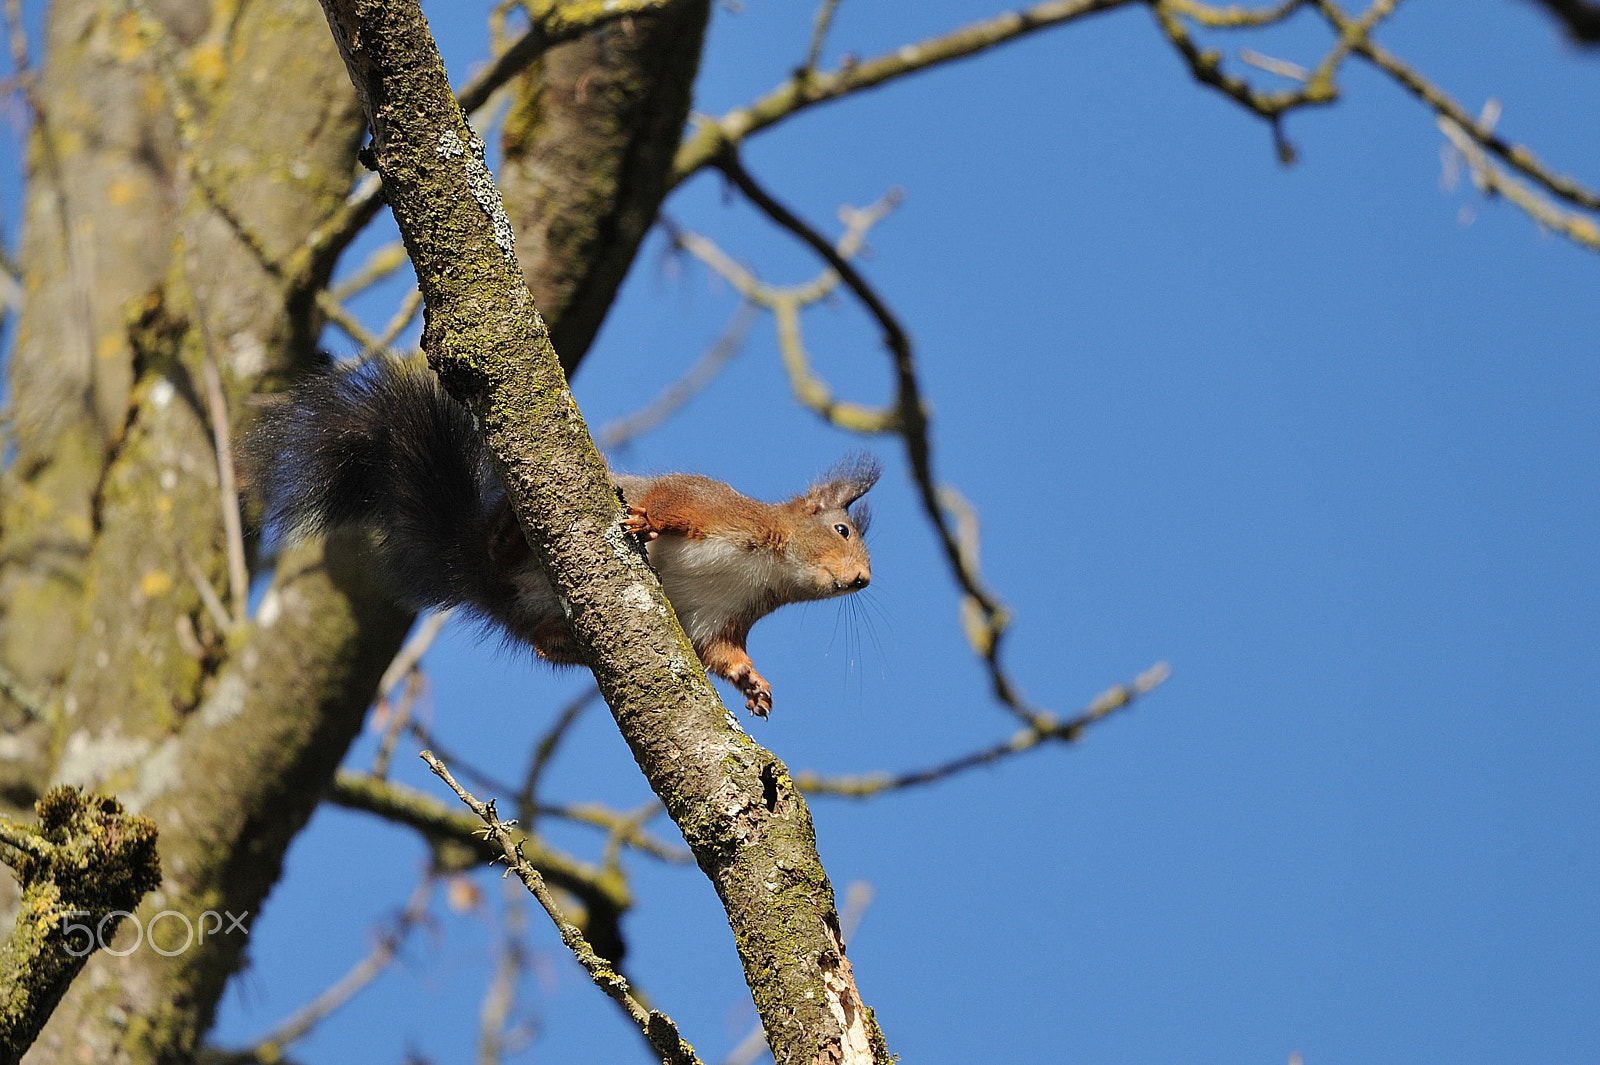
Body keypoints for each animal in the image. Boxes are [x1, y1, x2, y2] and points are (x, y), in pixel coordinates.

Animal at [251, 355, 883, 713]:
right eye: (841, 529)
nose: (863, 580)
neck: (766, 564)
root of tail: (477, 571)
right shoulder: (712, 505)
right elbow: (671, 502)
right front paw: (648, 521)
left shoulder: (722, 621)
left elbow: (722, 656)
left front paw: (755, 684)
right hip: (508, 545)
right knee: (502, 548)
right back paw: (509, 535)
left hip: (533, 615)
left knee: (538, 641)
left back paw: (566, 639)